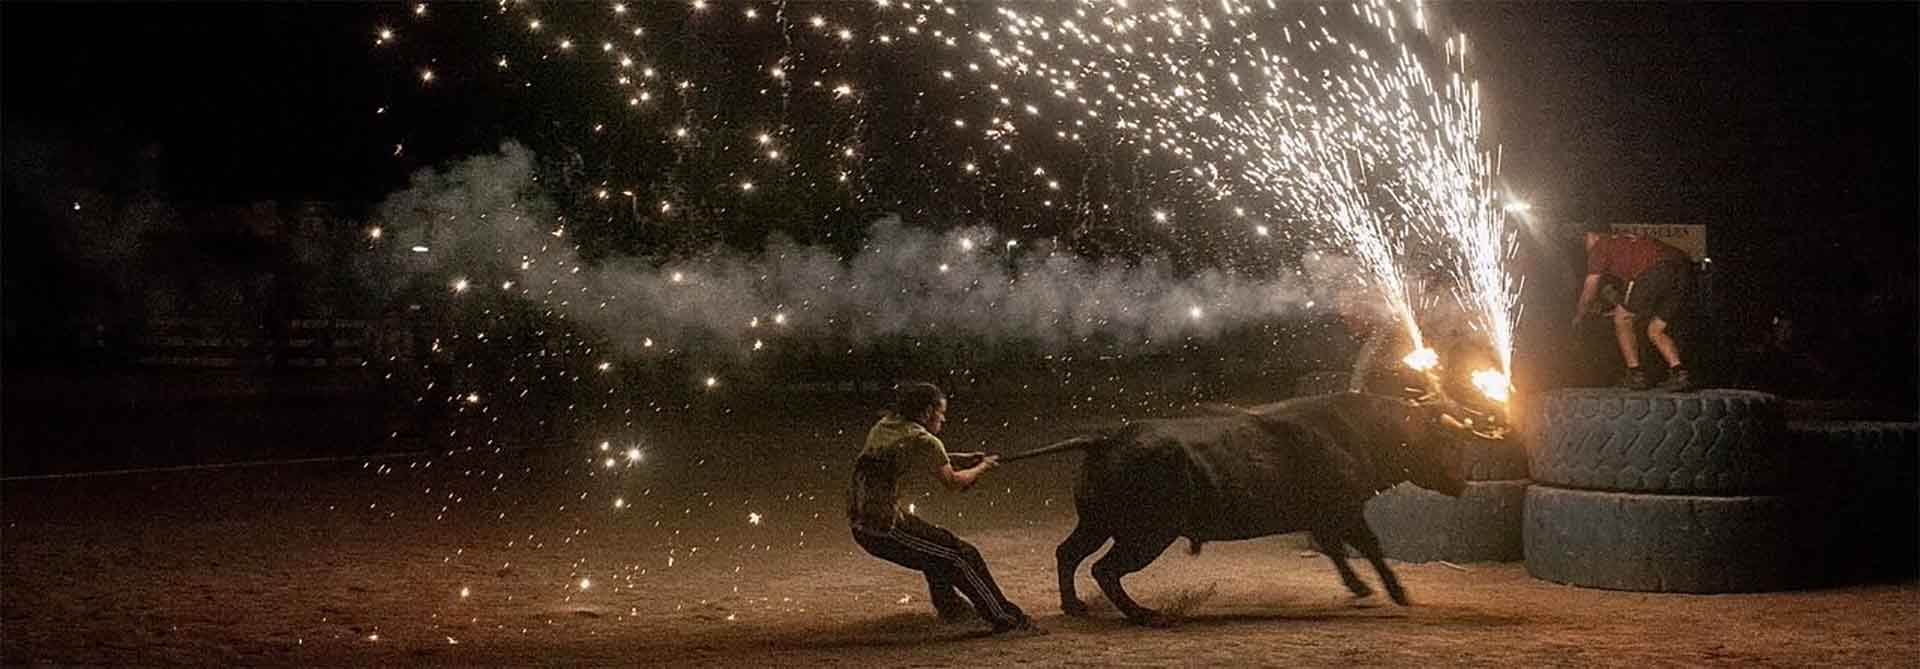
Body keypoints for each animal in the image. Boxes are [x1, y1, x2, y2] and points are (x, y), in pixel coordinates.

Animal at [1013, 392, 1489, 626]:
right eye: (1446, 440)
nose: (1463, 481)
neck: (1361, 430)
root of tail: (1106, 439)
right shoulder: (1345, 510)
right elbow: (1369, 547)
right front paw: (1396, 592)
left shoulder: (1324, 517)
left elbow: (1336, 551)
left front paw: (1360, 588)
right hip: (1146, 534)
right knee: (1105, 569)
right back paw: (1146, 616)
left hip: (1098, 523)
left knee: (1069, 554)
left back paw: (1076, 607)